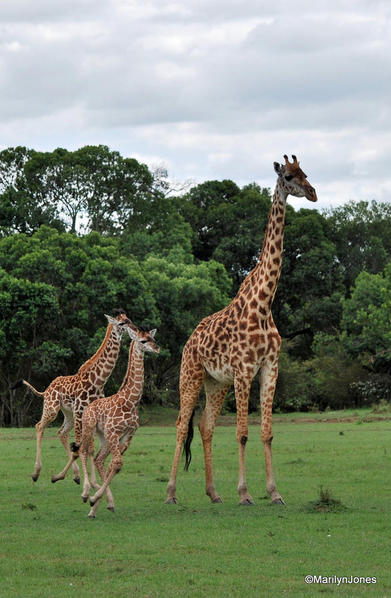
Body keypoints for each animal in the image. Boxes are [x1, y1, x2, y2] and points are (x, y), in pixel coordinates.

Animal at [14, 312, 142, 486]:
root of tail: (47, 389)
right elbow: (82, 447)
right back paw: (36, 473)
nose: (135, 329)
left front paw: (91, 482)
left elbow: (89, 447)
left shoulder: (89, 414)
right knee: (39, 426)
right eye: (122, 323)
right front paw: (90, 482)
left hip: (68, 413)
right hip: (52, 408)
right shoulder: (81, 411)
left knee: (61, 433)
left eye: (129, 319)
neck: (98, 381)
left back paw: (74, 475)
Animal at [72, 330, 159, 516]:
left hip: (103, 436)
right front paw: (92, 498)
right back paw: (85, 493)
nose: (157, 348)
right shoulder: (113, 431)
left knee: (99, 459)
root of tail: (88, 407)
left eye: (153, 338)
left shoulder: (127, 436)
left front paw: (97, 501)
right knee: (83, 451)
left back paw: (97, 506)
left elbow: (115, 465)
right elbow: (116, 463)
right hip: (89, 428)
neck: (132, 401)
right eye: (143, 340)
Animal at [165, 155, 318, 506]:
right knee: (181, 425)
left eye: (306, 173)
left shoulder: (269, 368)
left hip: (216, 382)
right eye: (289, 177)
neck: (263, 303)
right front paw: (245, 493)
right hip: (191, 374)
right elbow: (243, 433)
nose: (313, 193)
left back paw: (213, 493)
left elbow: (267, 432)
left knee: (204, 426)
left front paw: (274, 493)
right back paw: (171, 493)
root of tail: (189, 340)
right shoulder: (245, 370)